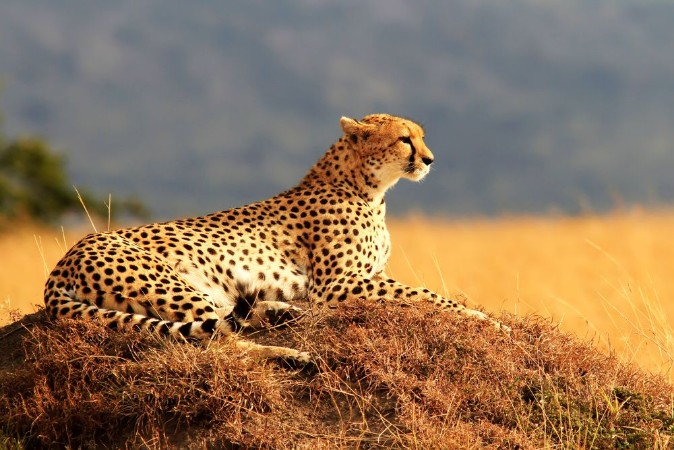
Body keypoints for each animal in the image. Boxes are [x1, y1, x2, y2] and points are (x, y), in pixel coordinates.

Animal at [44, 113, 506, 364]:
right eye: (405, 139)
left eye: (422, 137)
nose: (430, 159)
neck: (367, 188)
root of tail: (62, 261)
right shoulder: (338, 285)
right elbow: (426, 294)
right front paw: (486, 319)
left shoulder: (356, 279)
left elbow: (421, 293)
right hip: (169, 284)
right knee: (218, 341)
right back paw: (291, 353)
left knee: (229, 319)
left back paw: (284, 316)